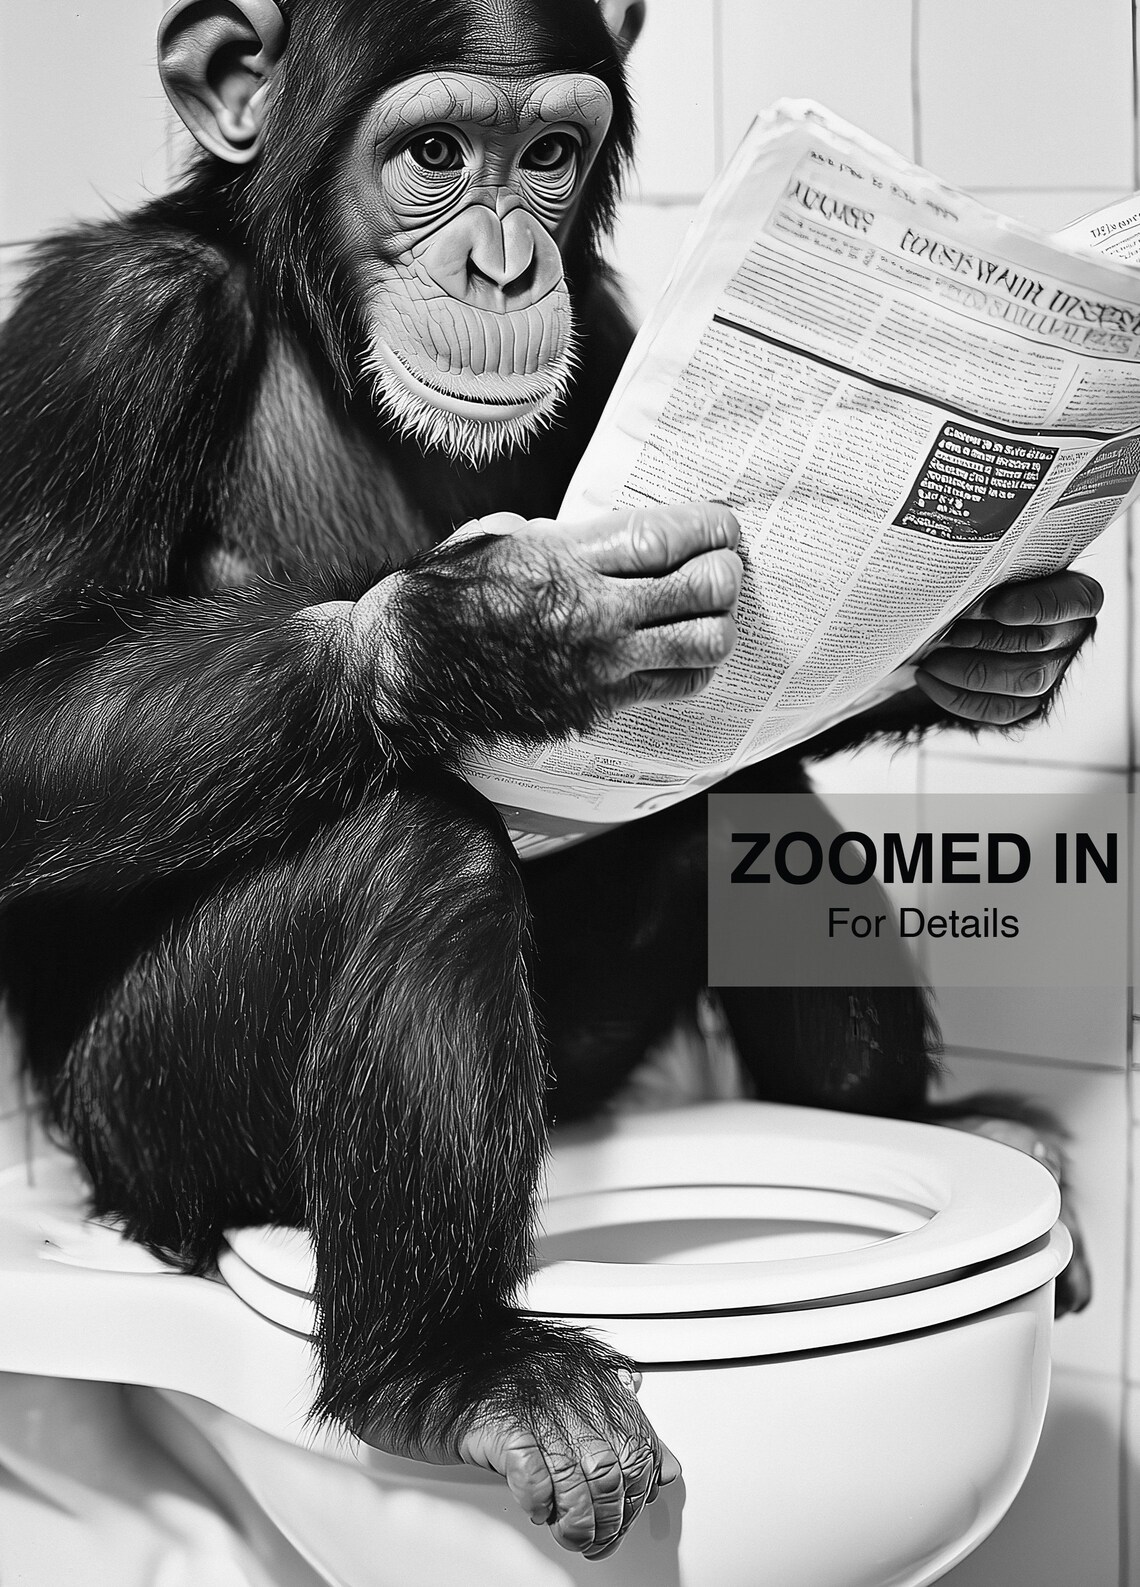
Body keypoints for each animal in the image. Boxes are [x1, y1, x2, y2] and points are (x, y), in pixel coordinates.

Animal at [0, 0, 1097, 1558]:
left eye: (551, 156)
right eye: (435, 155)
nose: (509, 262)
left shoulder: (627, 327)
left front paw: (1002, 639)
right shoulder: (113, 329)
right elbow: (19, 702)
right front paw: (499, 628)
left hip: (587, 1068)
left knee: (737, 809)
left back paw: (939, 1129)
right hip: (155, 1134)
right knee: (421, 854)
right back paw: (450, 1370)